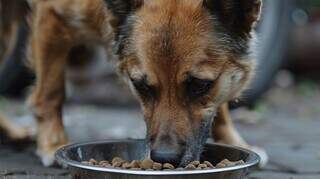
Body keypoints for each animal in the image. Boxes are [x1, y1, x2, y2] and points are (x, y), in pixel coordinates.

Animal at [0, 0, 268, 167]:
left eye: (200, 86)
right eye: (141, 86)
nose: (164, 158)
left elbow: (219, 107)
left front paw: (232, 141)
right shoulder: (52, 16)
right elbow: (51, 91)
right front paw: (53, 144)